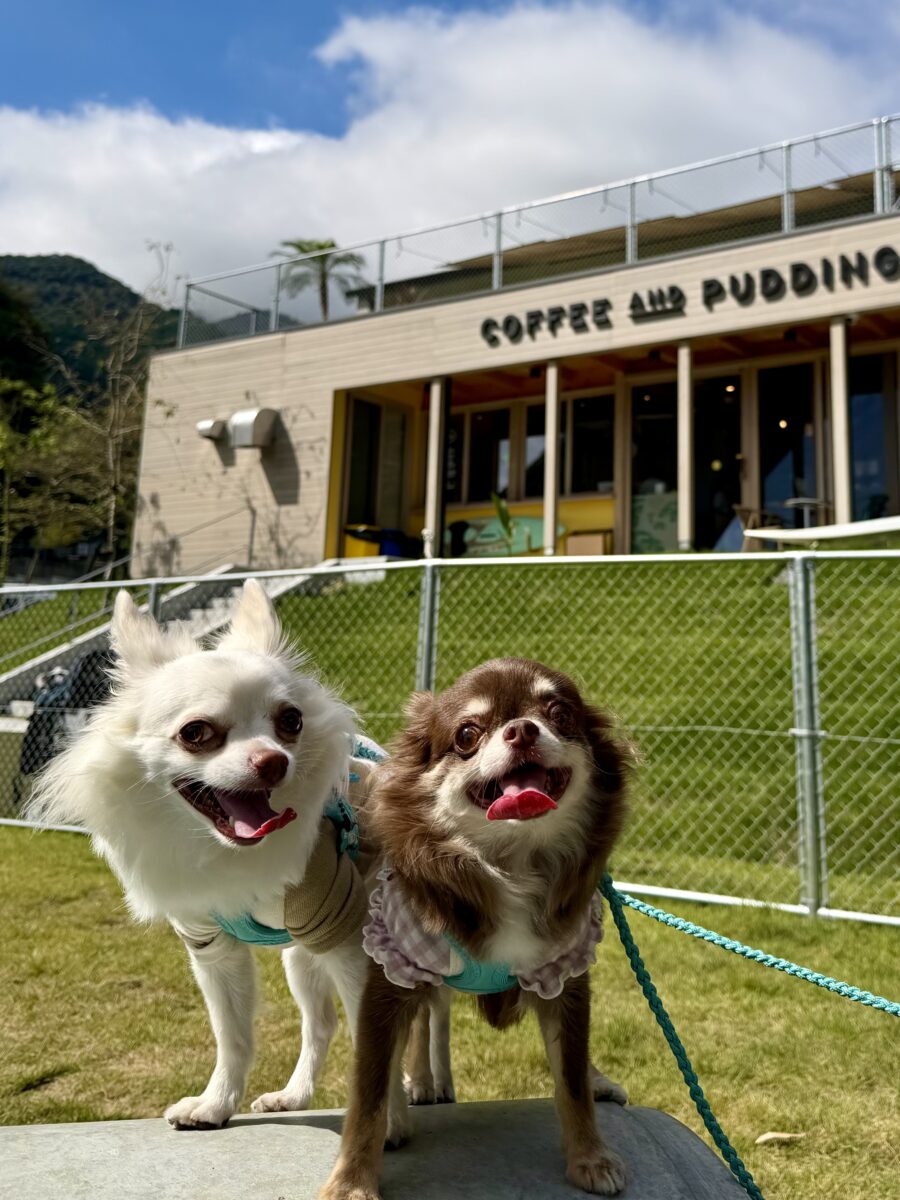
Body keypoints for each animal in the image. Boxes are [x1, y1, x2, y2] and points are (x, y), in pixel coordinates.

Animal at [27, 580, 407, 1137]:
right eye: (196, 733)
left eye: (291, 721)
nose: (274, 760)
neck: (228, 853)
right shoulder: (211, 946)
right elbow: (233, 1036)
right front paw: (215, 1103)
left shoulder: (346, 936)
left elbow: (376, 1043)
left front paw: (386, 1121)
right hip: (300, 956)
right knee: (321, 1023)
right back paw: (294, 1096)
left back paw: (426, 1085)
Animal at [320, 656, 631, 1200]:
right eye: (467, 734)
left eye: (559, 714)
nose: (523, 729)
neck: (510, 862)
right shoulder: (394, 972)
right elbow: (370, 1092)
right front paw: (352, 1182)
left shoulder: (564, 973)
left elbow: (570, 1077)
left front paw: (590, 1157)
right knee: (427, 1015)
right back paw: (422, 1081)